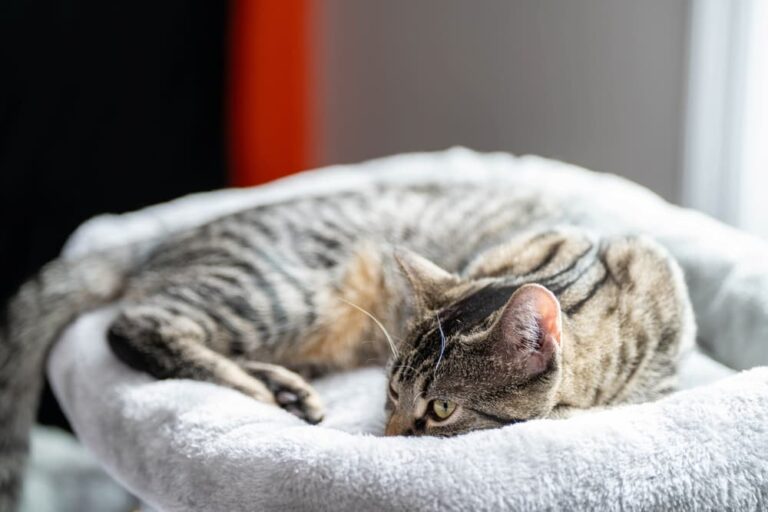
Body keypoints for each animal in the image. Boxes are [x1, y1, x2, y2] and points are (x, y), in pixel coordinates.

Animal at [0, 183, 696, 508]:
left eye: (441, 408)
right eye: (390, 392)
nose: (390, 435)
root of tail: (159, 241)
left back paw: (284, 388)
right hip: (283, 293)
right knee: (136, 325)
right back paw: (262, 389)